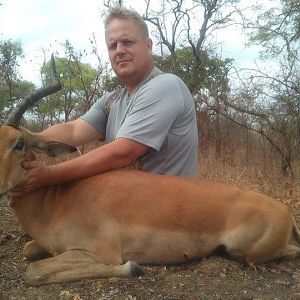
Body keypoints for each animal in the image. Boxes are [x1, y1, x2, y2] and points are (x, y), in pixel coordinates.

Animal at [0, 54, 300, 286]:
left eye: (19, 143)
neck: (56, 201)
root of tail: (285, 213)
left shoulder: (100, 251)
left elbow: (33, 271)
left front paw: (133, 267)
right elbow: (28, 250)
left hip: (246, 251)